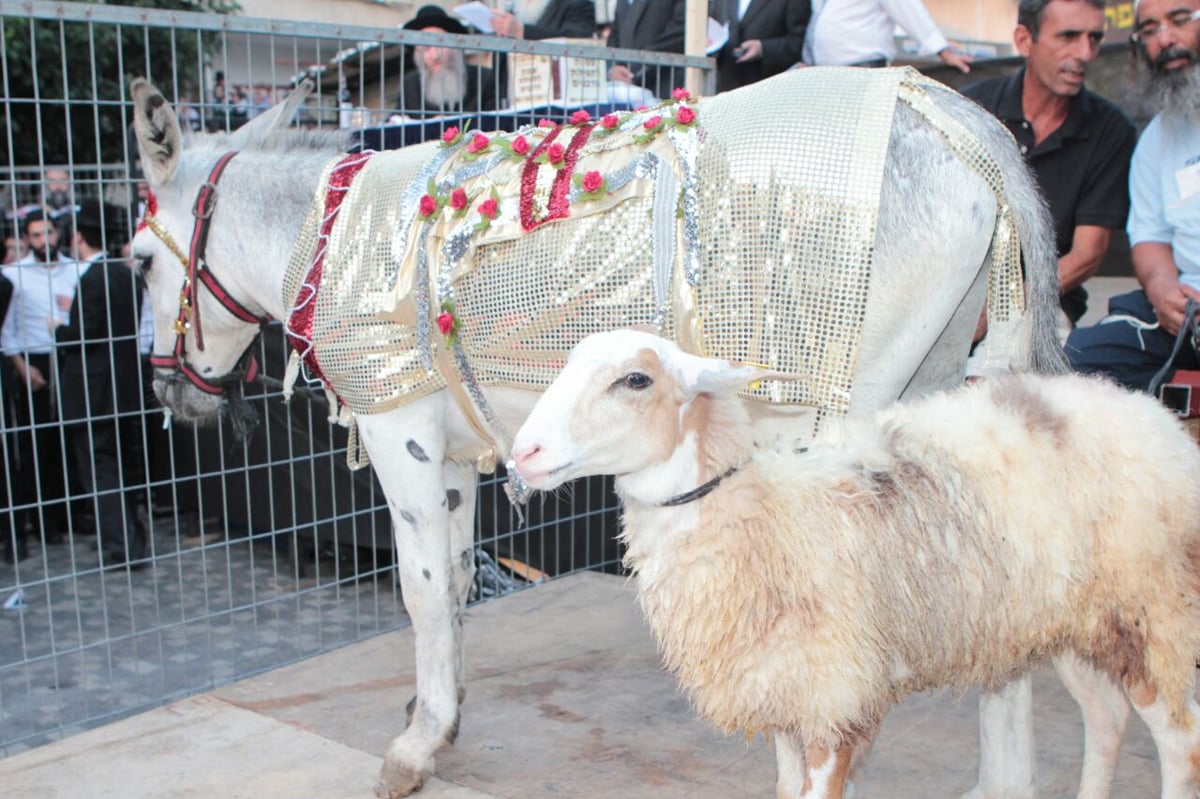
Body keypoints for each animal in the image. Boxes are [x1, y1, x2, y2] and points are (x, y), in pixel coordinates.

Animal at [511, 328, 1200, 796]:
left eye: (636, 380)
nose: (523, 453)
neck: (767, 516)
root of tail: (1151, 412)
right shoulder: (785, 691)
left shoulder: (834, 698)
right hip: (1071, 617)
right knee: (1107, 718)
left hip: (1152, 607)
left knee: (1179, 741)